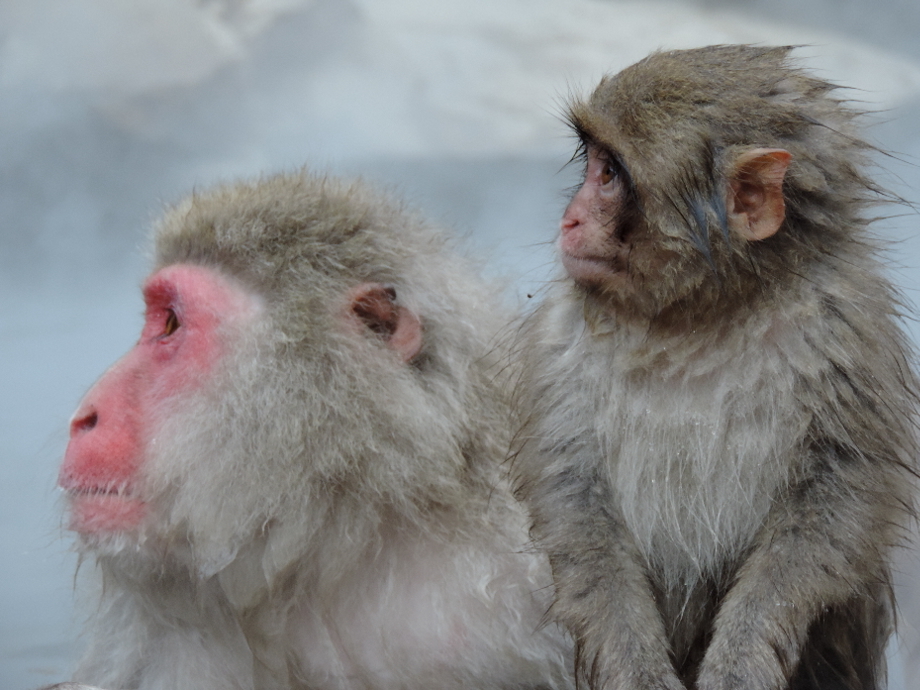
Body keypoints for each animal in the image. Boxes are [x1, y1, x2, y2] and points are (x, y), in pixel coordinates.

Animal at [512, 45, 916, 684]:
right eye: (594, 165)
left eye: (609, 174)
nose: (569, 221)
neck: (699, 316)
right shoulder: (558, 346)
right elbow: (577, 505)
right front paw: (639, 672)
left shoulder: (848, 335)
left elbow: (835, 502)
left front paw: (741, 658)